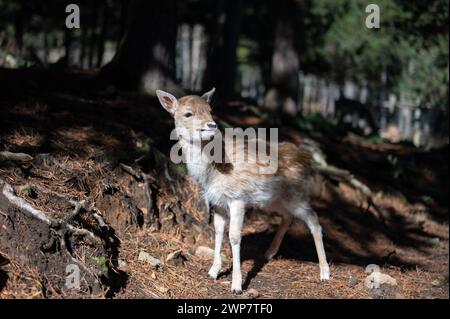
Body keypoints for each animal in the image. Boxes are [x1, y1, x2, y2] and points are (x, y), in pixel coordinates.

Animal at [156, 89, 328, 294]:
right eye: (188, 113)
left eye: (210, 110)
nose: (211, 125)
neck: (213, 173)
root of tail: (307, 159)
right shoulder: (218, 201)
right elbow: (218, 231)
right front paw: (213, 272)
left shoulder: (238, 197)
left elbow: (235, 236)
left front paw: (237, 285)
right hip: (274, 199)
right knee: (288, 216)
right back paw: (269, 253)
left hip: (297, 194)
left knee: (314, 220)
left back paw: (325, 273)